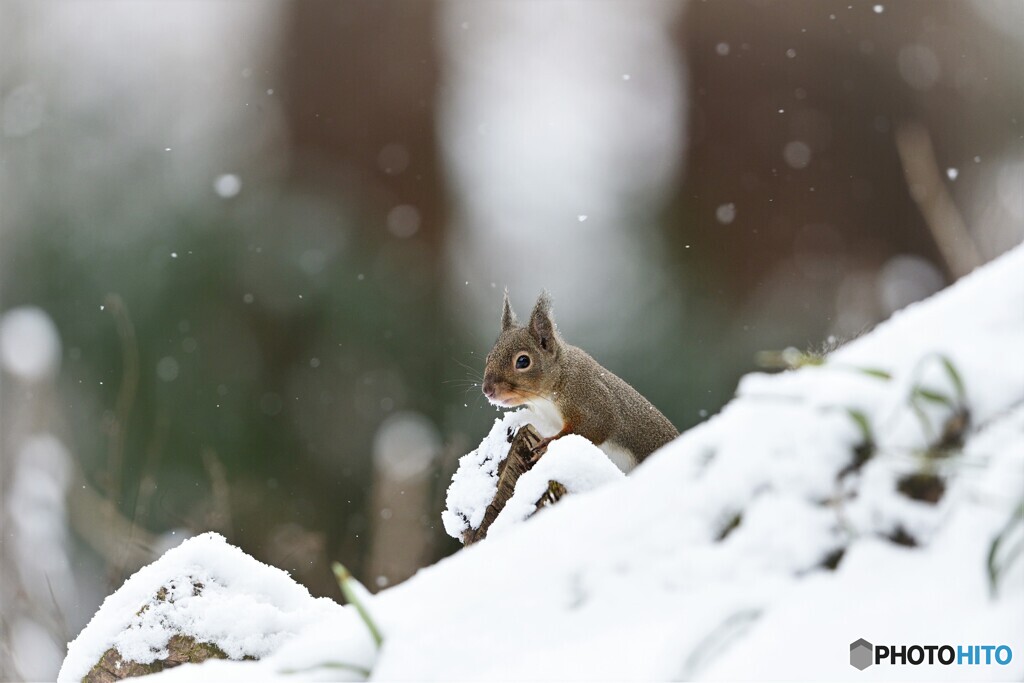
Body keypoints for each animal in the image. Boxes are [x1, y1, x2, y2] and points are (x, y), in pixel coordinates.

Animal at [481, 288, 679, 471]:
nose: (487, 390)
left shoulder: (592, 401)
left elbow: (592, 428)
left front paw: (548, 443)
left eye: (523, 361)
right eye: (488, 357)